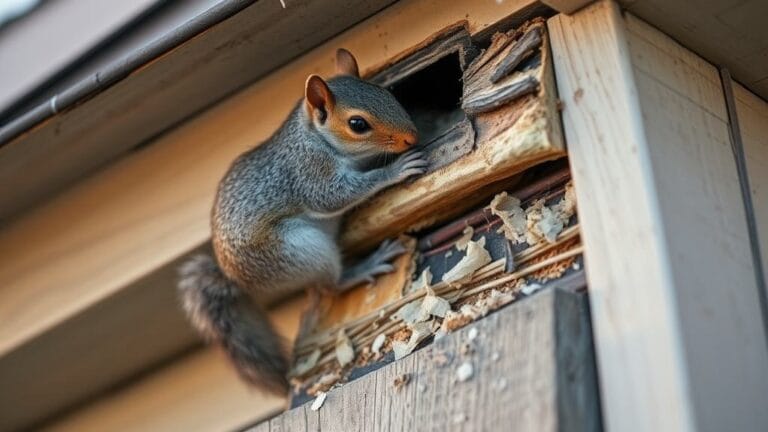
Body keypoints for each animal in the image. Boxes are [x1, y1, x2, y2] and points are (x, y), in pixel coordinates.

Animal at [178, 48, 428, 394]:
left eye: (386, 93)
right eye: (357, 124)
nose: (411, 137)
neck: (316, 137)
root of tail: (235, 276)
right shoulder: (310, 172)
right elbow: (334, 196)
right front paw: (395, 170)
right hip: (300, 252)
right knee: (330, 286)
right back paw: (366, 266)